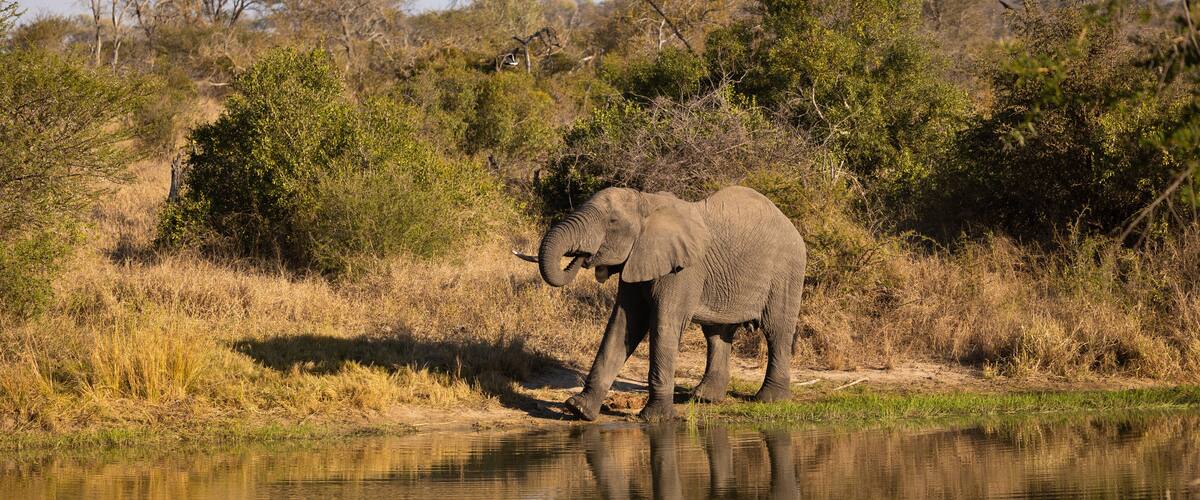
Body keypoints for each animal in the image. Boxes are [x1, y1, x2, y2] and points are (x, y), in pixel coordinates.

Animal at [515, 186, 806, 421]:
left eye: (612, 221)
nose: (583, 256)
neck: (647, 202)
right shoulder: (637, 259)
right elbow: (622, 325)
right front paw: (579, 409)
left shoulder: (683, 270)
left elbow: (663, 325)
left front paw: (655, 419)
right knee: (717, 333)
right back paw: (704, 398)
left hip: (787, 271)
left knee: (777, 330)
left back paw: (770, 400)